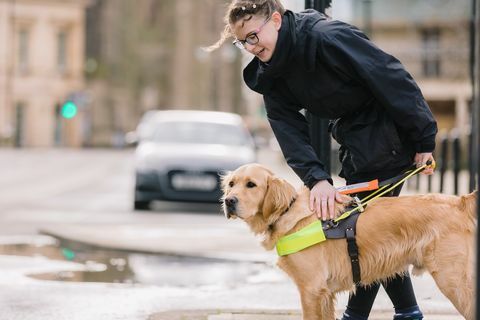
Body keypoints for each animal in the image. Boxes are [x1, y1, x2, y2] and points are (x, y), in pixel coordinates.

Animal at [222, 164, 476, 320]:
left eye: (251, 184)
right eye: (232, 184)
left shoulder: (311, 289)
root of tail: (460, 201)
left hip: (453, 280)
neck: (288, 211)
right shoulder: (324, 294)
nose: (228, 201)